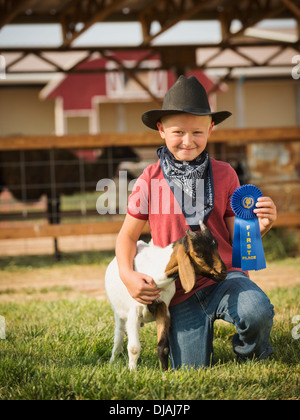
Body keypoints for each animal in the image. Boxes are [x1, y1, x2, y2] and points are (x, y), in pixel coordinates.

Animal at [104, 221, 226, 370]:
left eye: (216, 247)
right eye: (199, 254)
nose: (223, 272)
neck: (154, 274)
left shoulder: (163, 308)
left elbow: (163, 347)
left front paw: (165, 371)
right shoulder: (134, 311)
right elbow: (133, 348)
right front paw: (132, 371)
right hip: (118, 312)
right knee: (119, 332)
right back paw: (113, 359)